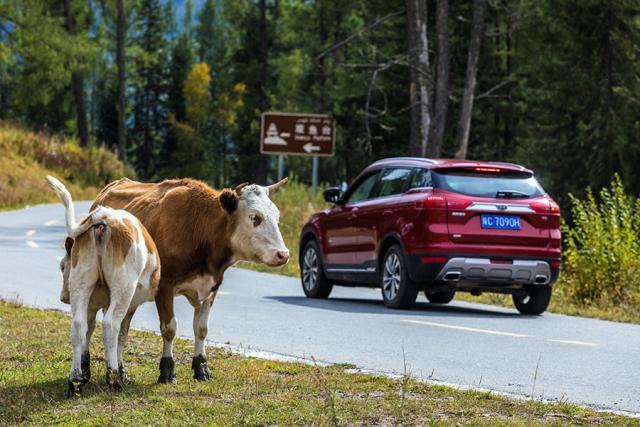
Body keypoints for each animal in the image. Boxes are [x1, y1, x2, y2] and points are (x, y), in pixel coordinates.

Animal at [45, 177, 159, 398]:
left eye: (62, 266)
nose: (63, 297)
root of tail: (104, 215)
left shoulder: (94, 302)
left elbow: (88, 330)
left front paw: (85, 371)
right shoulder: (131, 305)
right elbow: (122, 335)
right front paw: (120, 371)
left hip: (81, 284)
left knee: (78, 325)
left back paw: (75, 380)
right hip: (124, 288)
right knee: (110, 325)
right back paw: (114, 378)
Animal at [90, 176, 290, 382]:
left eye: (277, 216)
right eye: (254, 217)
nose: (283, 254)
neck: (201, 230)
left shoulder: (211, 287)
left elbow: (201, 329)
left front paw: (201, 367)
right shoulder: (165, 287)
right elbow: (169, 328)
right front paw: (167, 370)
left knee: (122, 329)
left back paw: (120, 371)